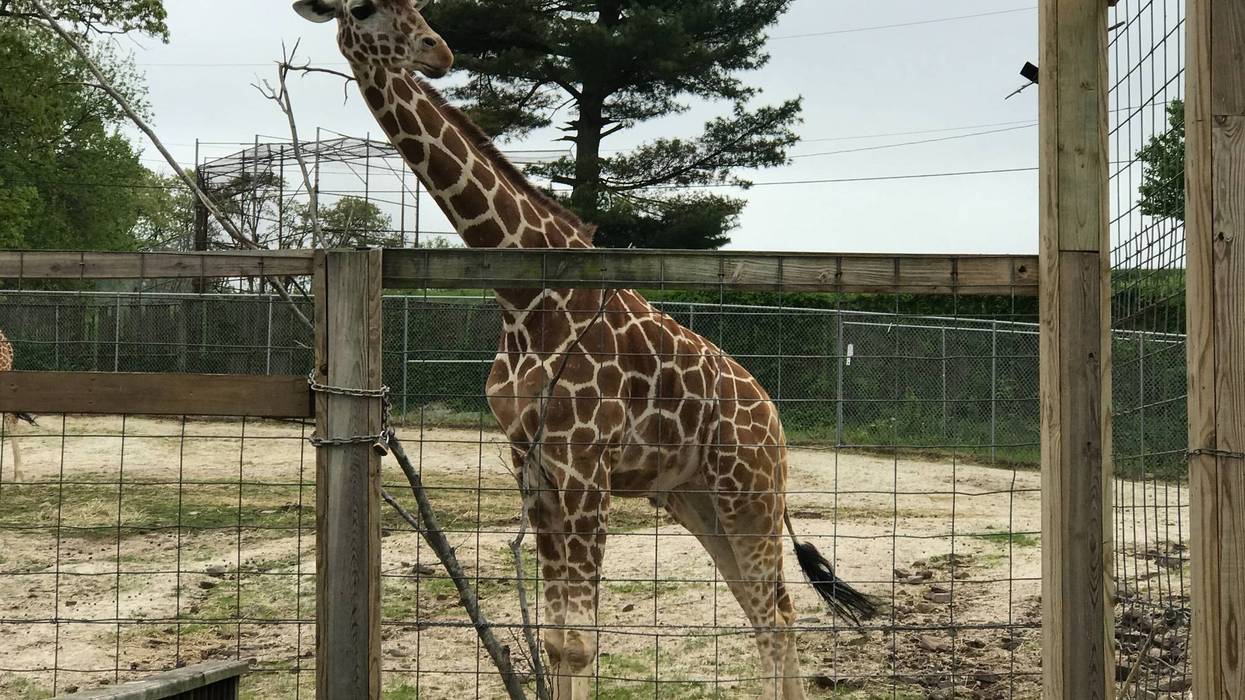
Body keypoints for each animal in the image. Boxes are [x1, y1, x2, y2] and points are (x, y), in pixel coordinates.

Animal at [293, 2, 877, 697]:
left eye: (420, 11)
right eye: (365, 10)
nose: (439, 51)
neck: (525, 298)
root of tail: (775, 421)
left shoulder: (585, 466)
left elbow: (578, 642)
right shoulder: (532, 466)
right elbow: (554, 641)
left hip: (749, 494)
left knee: (774, 617)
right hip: (701, 502)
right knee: (774, 610)